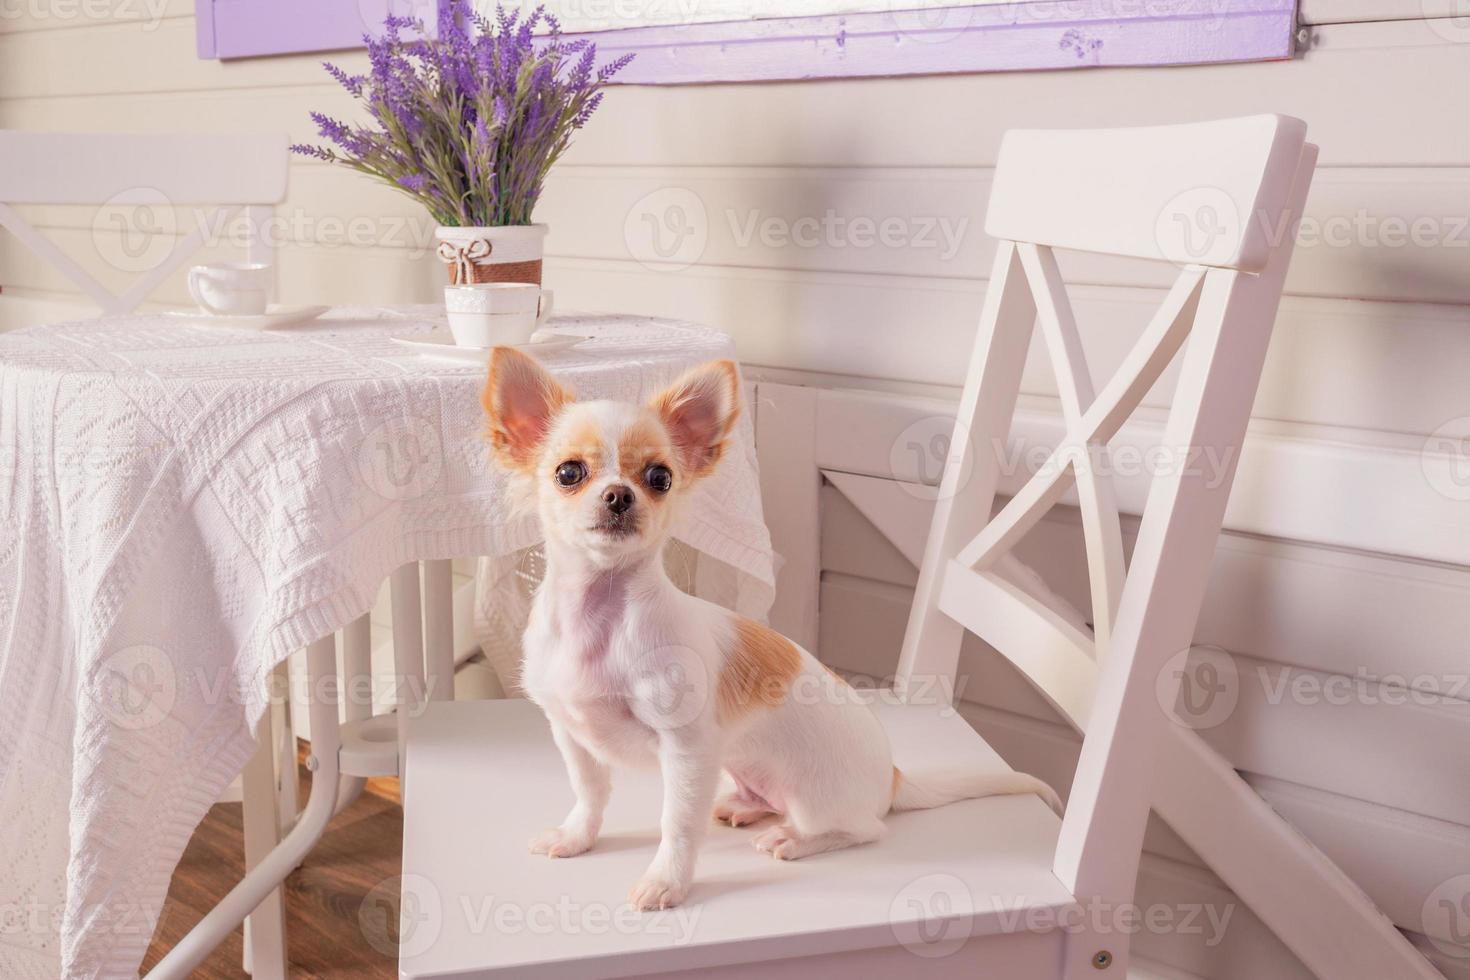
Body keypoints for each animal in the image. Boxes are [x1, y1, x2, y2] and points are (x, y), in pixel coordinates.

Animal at [488, 348, 1064, 916]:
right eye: (568, 472)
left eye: (660, 478)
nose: (618, 496)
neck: (601, 618)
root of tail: (895, 777)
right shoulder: (572, 733)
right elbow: (589, 793)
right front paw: (576, 837)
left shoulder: (687, 751)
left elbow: (677, 824)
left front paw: (666, 881)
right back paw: (746, 806)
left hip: (814, 798)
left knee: (862, 829)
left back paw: (794, 838)